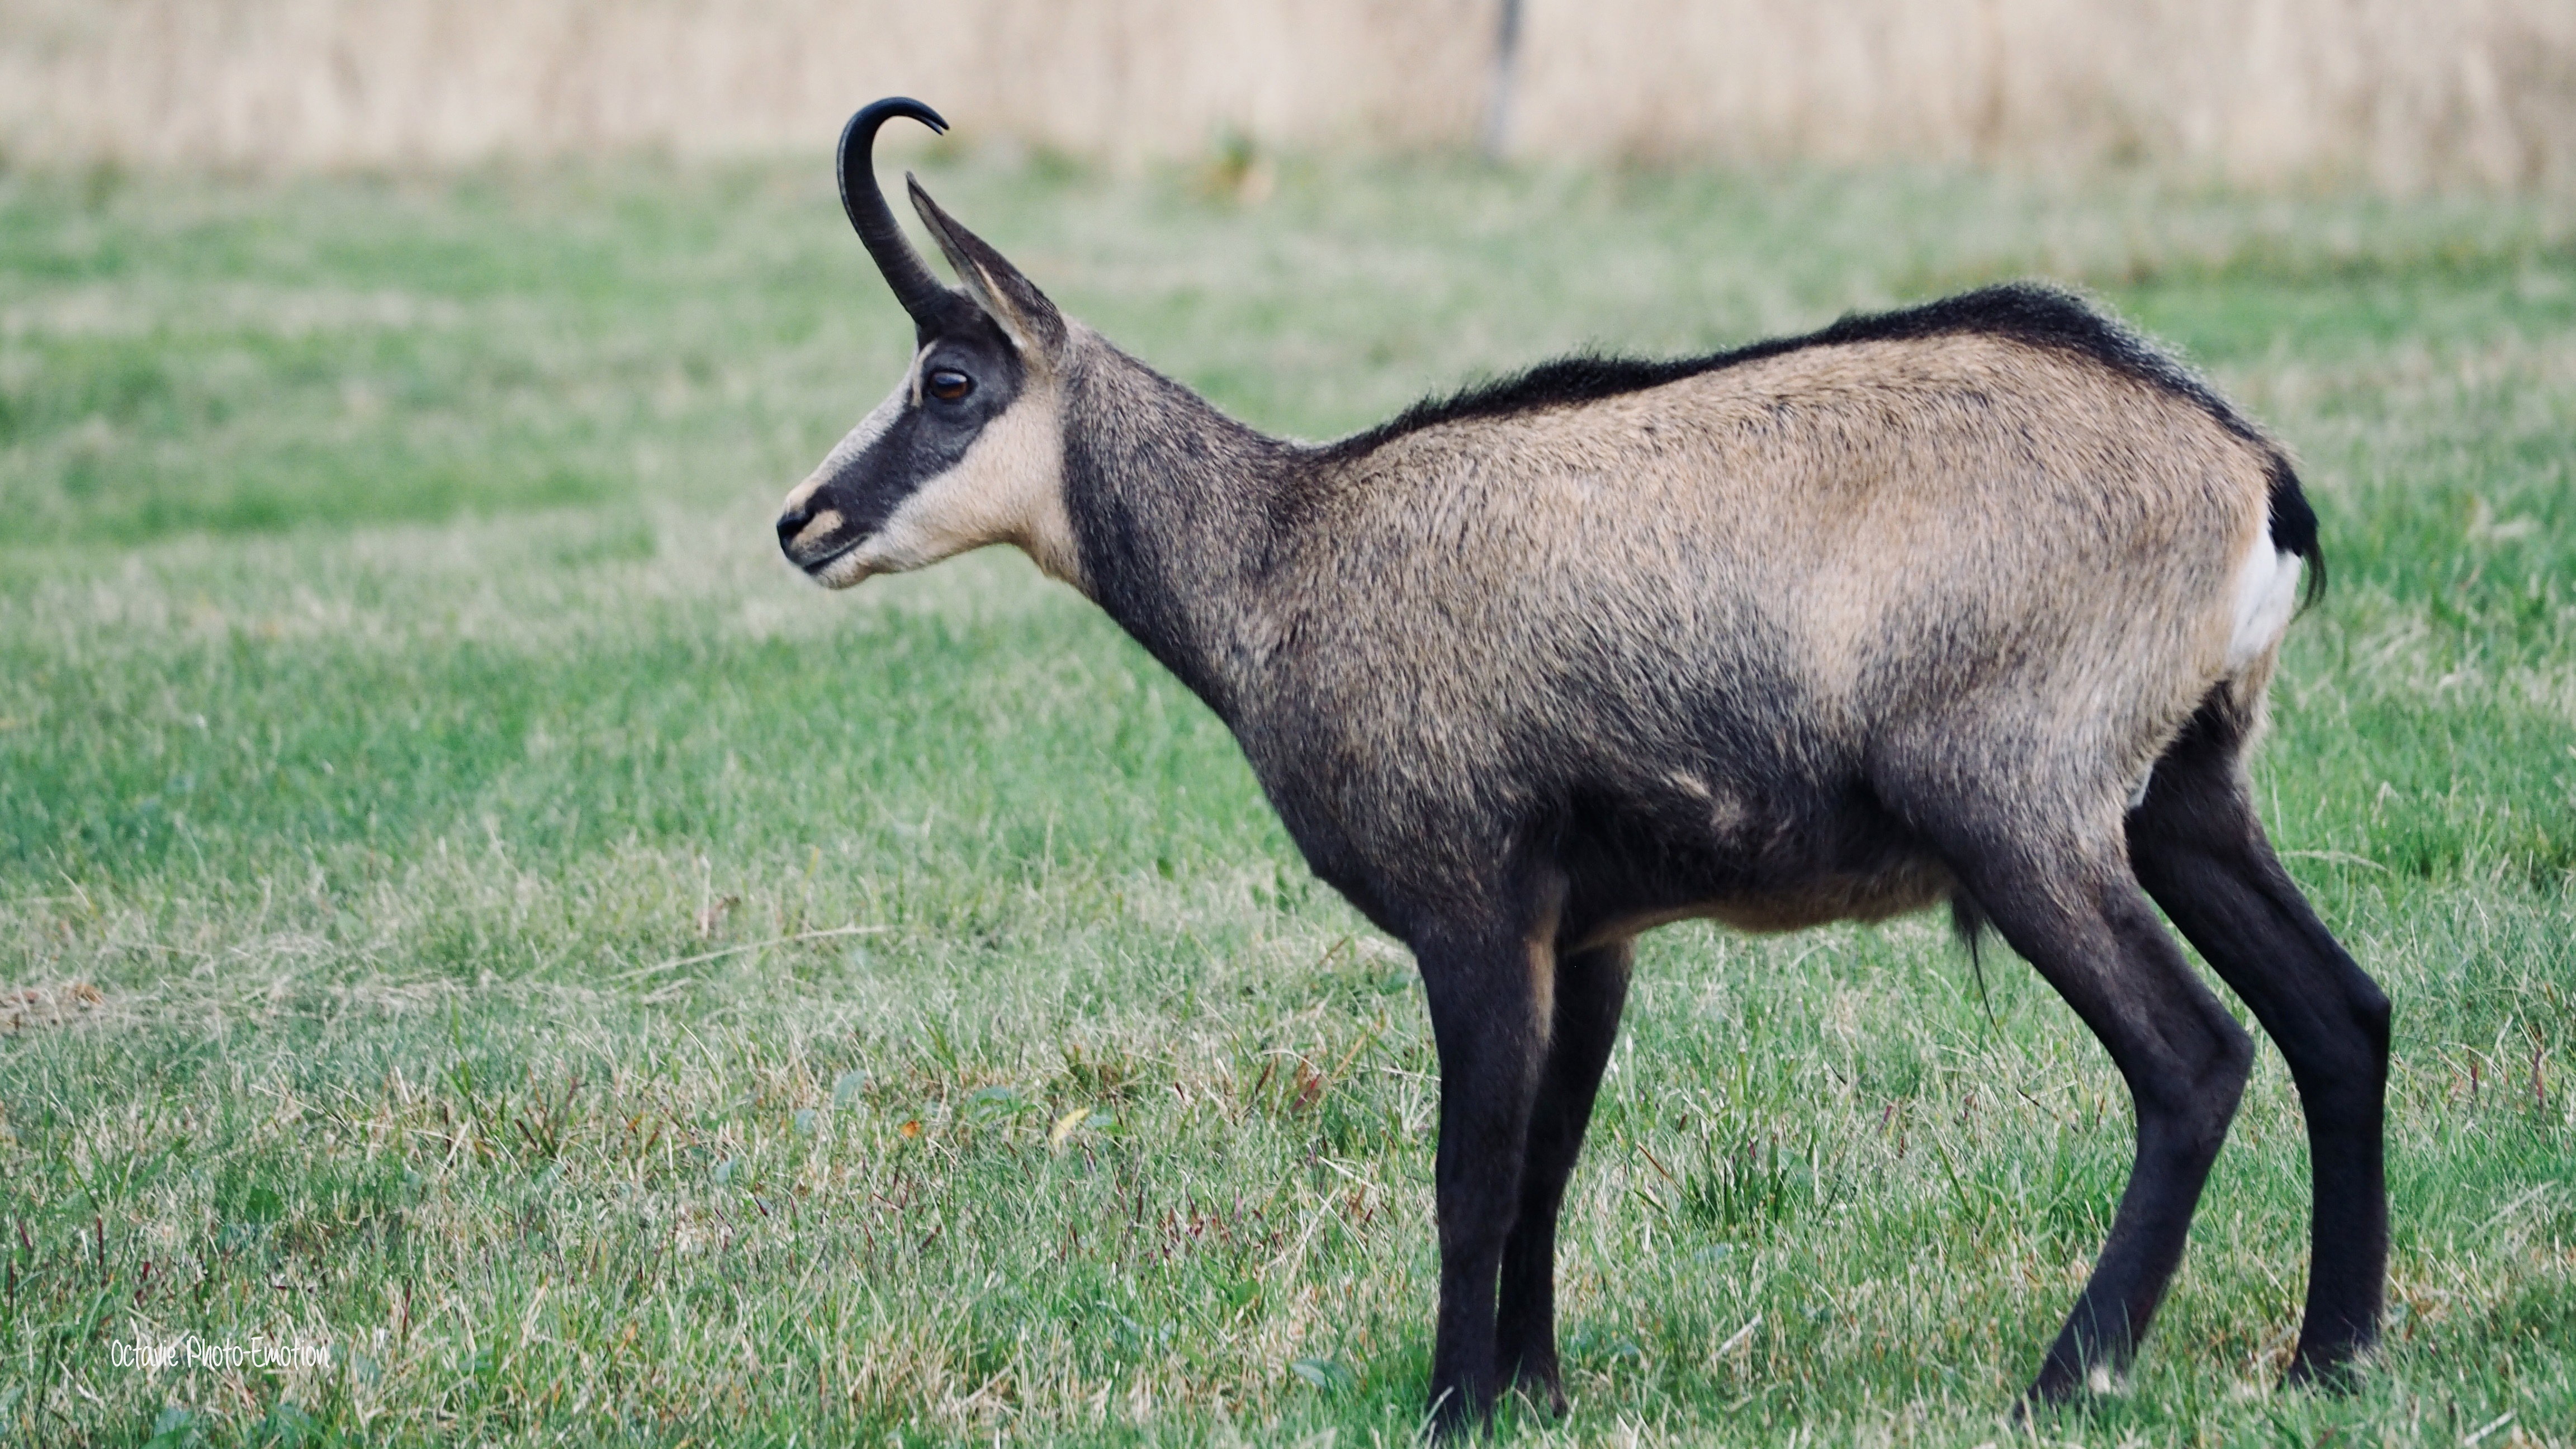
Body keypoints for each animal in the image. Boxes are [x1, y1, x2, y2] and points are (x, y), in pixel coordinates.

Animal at [775, 98, 2391, 1433]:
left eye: (950, 379)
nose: (803, 521)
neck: (1287, 555)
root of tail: (2250, 474)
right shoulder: (1593, 929)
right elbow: (1552, 1156)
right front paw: (1533, 1392)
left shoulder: (1471, 908)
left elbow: (1473, 1178)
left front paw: (1449, 1409)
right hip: (2186, 796)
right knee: (2341, 1013)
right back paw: (2332, 1357)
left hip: (2021, 811)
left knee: (2194, 1056)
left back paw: (2066, 1381)